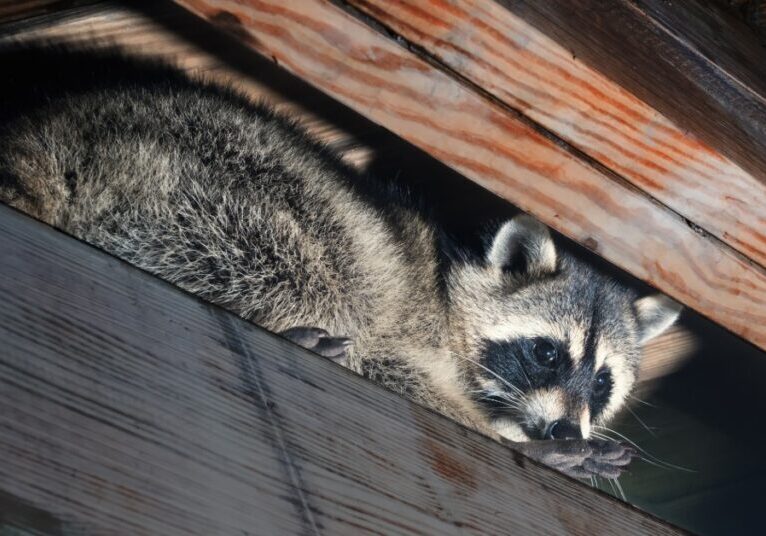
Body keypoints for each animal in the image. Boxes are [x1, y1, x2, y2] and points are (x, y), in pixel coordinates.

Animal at [0, 45, 680, 480]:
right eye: (546, 352)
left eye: (602, 381)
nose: (566, 432)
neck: (450, 289)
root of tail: (51, 130)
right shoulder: (408, 325)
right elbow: (388, 363)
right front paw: (504, 435)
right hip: (204, 185)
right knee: (308, 271)